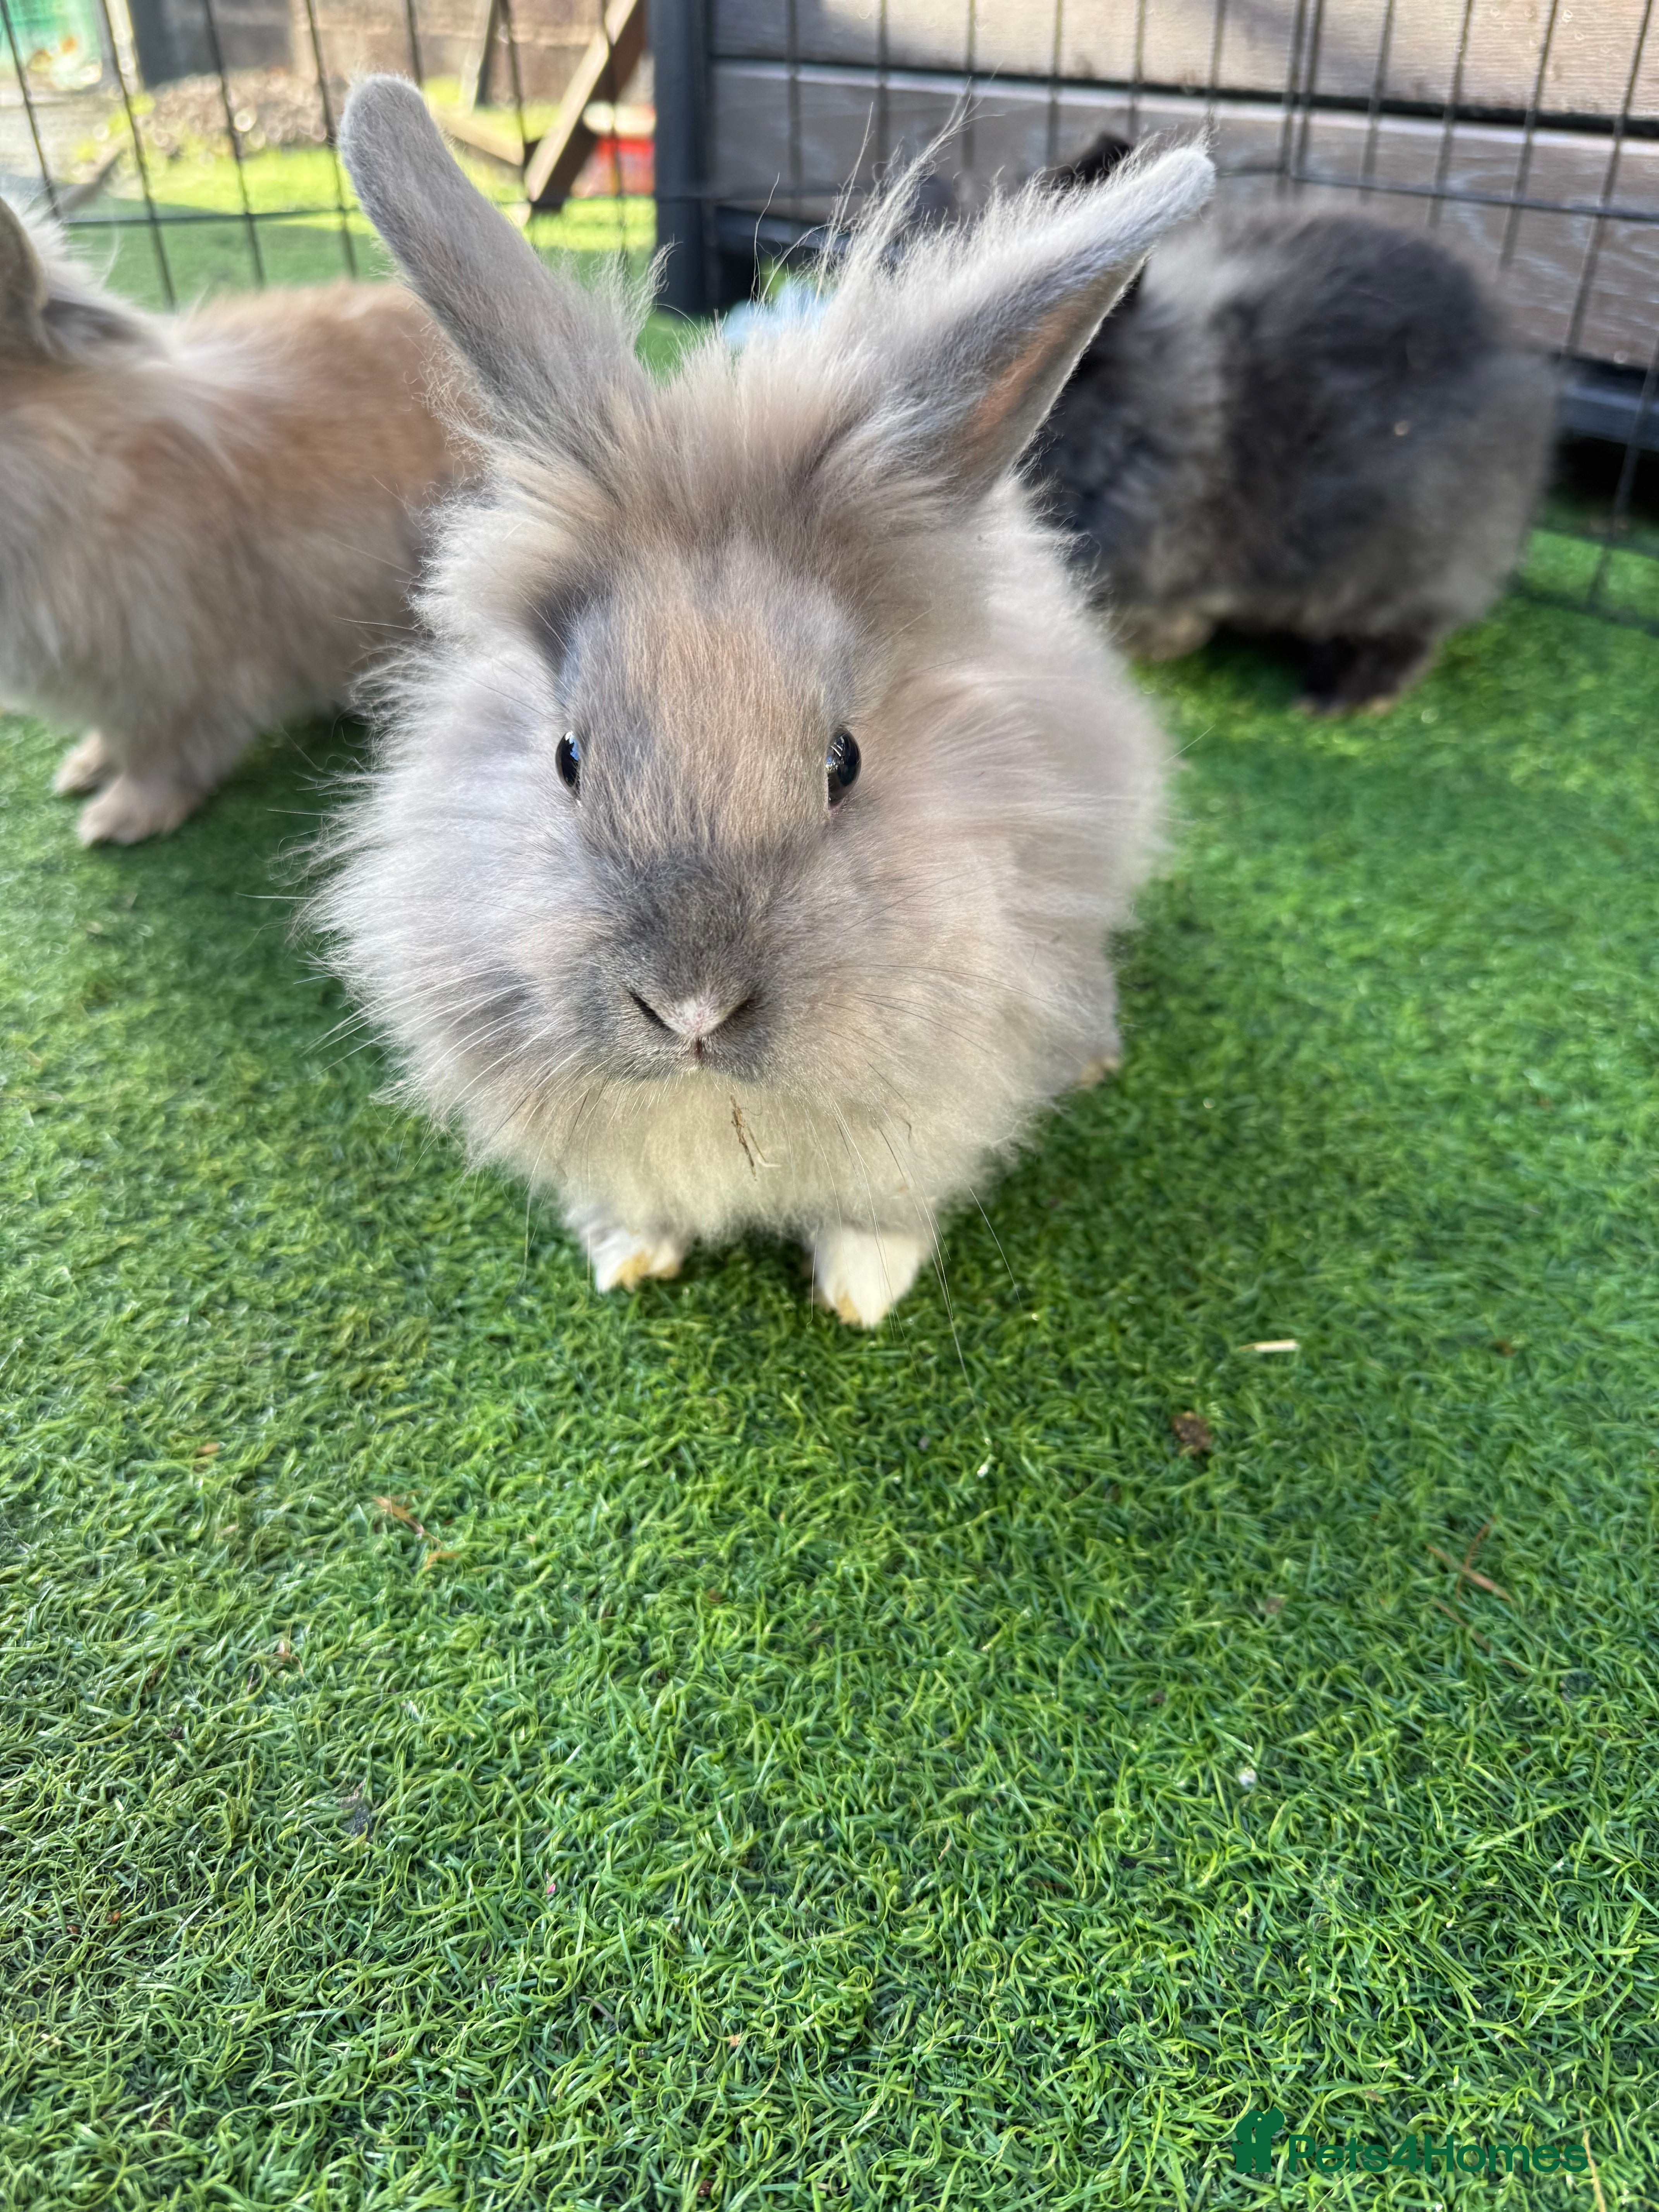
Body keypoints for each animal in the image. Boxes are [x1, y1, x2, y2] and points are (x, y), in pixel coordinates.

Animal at [313, 78, 1214, 1327]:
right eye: (568, 756)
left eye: (844, 761)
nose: (690, 1009)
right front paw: (630, 1255)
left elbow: (879, 1209)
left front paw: (864, 1294)